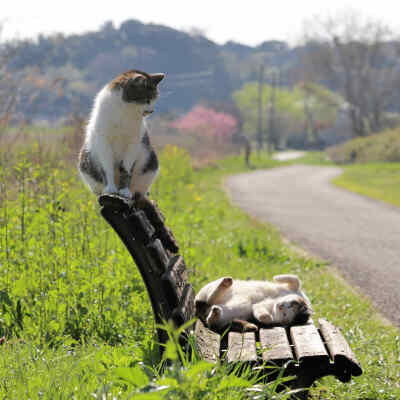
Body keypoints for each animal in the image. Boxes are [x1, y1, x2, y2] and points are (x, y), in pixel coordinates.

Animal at [78, 70, 164, 200]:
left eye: (154, 100)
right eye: (147, 99)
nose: (151, 110)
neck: (125, 110)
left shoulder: (133, 143)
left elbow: (126, 169)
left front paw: (124, 191)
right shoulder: (103, 141)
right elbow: (107, 168)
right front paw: (110, 189)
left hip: (151, 163)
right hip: (85, 159)